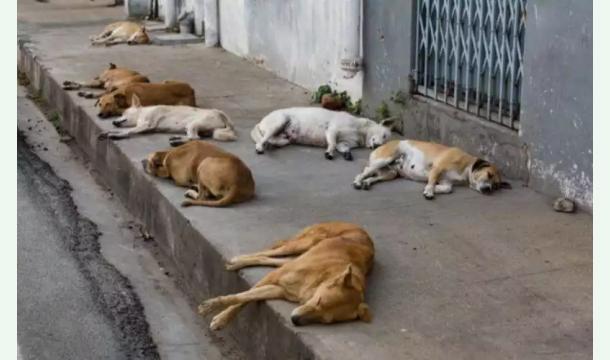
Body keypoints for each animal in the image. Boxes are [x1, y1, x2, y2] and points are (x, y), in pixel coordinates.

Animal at [98, 95, 236, 146]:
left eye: (123, 113)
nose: (113, 121)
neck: (142, 112)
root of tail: (221, 114)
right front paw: (108, 131)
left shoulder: (146, 125)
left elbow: (128, 131)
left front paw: (115, 135)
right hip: (193, 127)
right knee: (195, 137)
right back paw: (177, 138)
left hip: (193, 123)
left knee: (195, 138)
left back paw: (177, 141)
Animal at [197, 222, 372, 332]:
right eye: (319, 301)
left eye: (325, 320)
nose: (295, 320)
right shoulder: (272, 278)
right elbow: (240, 298)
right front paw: (217, 313)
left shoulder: (279, 289)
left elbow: (247, 297)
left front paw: (219, 315)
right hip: (302, 244)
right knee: (270, 252)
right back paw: (238, 260)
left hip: (297, 255)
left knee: (271, 259)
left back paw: (238, 262)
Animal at [249, 107, 396, 160]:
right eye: (384, 135)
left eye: (385, 142)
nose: (377, 146)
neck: (360, 131)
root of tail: (261, 122)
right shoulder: (332, 130)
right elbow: (332, 144)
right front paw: (329, 152)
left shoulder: (344, 143)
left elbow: (342, 147)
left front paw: (347, 154)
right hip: (280, 121)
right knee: (262, 140)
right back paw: (260, 147)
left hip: (283, 137)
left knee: (273, 139)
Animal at [352, 139, 508, 200]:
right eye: (489, 174)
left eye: (495, 186)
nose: (488, 189)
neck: (466, 166)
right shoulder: (437, 168)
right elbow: (432, 181)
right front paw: (429, 191)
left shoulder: (446, 182)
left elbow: (446, 189)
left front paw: (433, 189)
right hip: (384, 159)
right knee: (364, 172)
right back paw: (358, 182)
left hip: (390, 173)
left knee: (374, 176)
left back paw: (367, 183)